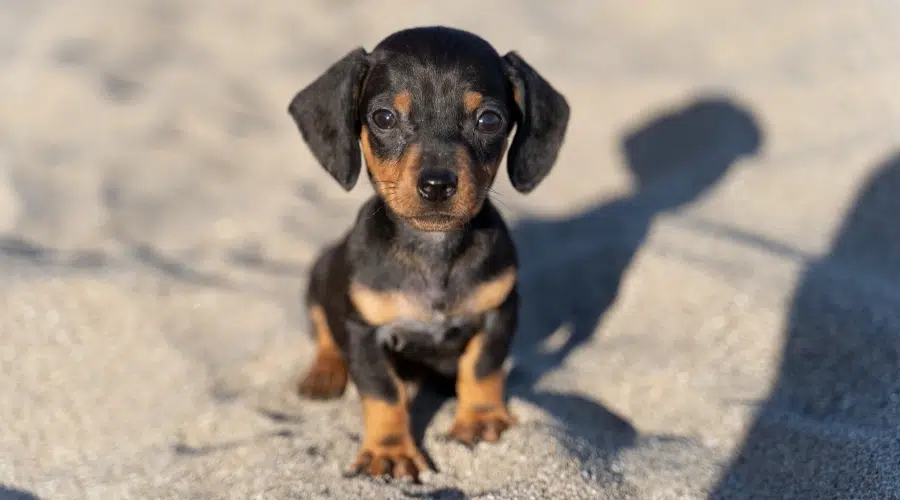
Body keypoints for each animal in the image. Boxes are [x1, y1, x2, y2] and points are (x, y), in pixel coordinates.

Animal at [286, 27, 568, 480]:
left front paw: (480, 419)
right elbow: (382, 392)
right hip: (322, 273)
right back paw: (324, 373)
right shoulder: (363, 331)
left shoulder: (499, 310)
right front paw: (389, 451)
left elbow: (483, 367)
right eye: (384, 118)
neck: (433, 252)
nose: (437, 186)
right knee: (324, 331)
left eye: (489, 120)